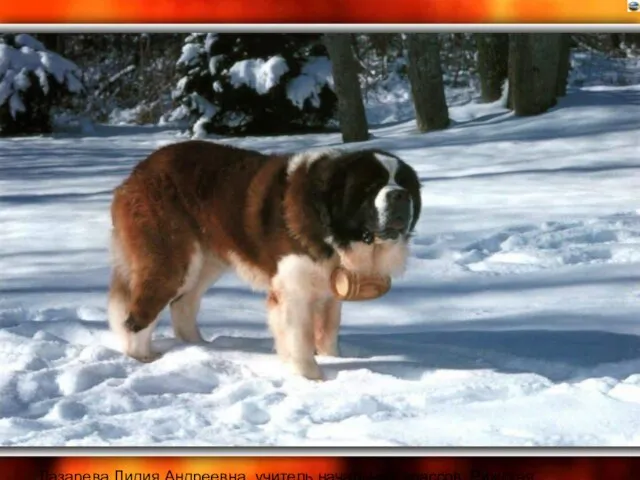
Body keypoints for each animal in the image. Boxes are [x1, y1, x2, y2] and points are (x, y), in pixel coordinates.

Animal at [108, 141, 422, 380]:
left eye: (403, 183)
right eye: (370, 187)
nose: (400, 195)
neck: (329, 224)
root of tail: (136, 173)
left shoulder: (329, 291)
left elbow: (328, 331)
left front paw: (334, 360)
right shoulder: (293, 291)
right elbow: (300, 338)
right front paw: (312, 379)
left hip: (206, 263)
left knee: (183, 304)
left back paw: (202, 348)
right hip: (172, 262)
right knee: (138, 315)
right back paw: (143, 358)